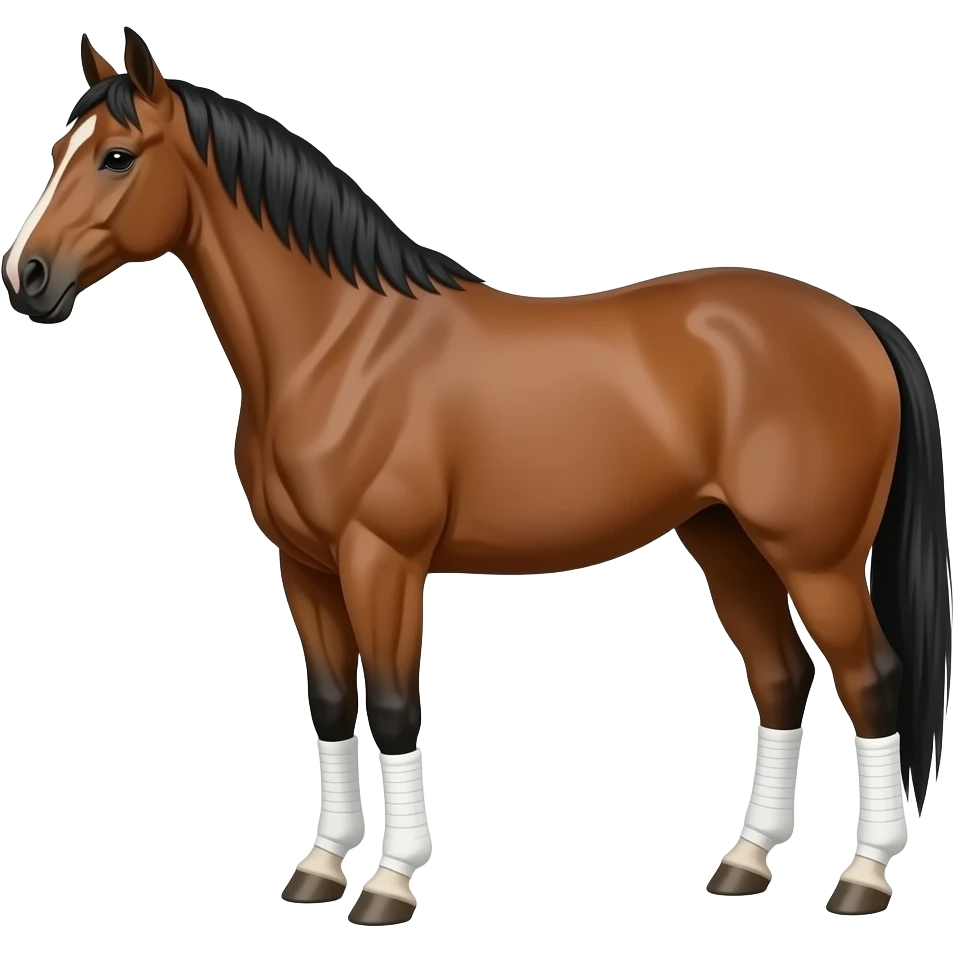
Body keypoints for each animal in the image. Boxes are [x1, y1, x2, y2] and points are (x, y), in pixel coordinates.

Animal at [3, 28, 950, 923]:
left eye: (117, 156)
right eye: (55, 151)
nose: (27, 277)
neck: (338, 347)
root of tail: (858, 323)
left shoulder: (381, 561)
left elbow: (393, 708)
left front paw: (388, 885)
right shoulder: (303, 568)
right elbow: (332, 705)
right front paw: (318, 870)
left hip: (815, 557)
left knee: (871, 680)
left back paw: (862, 878)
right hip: (725, 540)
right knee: (781, 676)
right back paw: (747, 862)